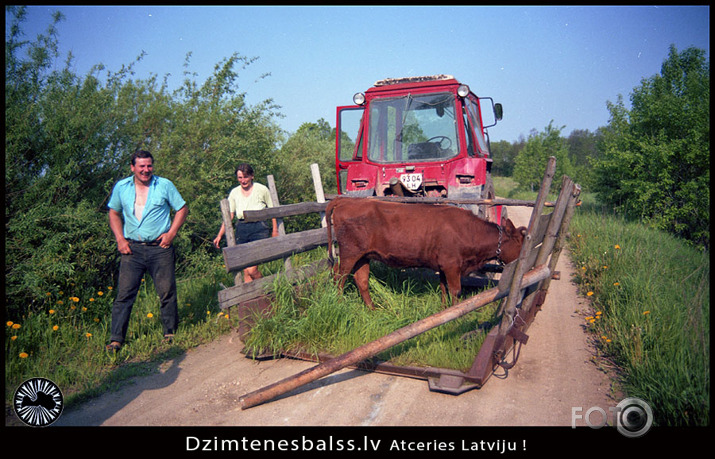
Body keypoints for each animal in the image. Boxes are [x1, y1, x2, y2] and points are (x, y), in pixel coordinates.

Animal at [328, 198, 528, 310]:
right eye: (521, 242)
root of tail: (347, 200)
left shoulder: (444, 266)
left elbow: (443, 289)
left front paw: (443, 312)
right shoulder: (452, 265)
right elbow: (455, 290)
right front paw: (455, 315)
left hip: (363, 256)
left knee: (361, 280)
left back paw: (372, 310)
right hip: (349, 252)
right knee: (339, 277)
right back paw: (339, 304)